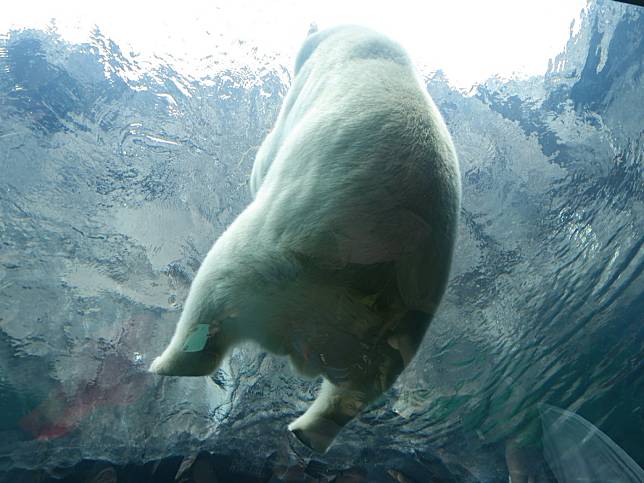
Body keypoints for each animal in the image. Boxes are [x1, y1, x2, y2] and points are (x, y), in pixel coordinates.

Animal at [150, 25, 462, 454]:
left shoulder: (308, 82)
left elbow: (269, 153)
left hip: (268, 265)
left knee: (213, 295)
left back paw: (167, 362)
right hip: (395, 337)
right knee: (358, 389)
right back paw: (308, 430)